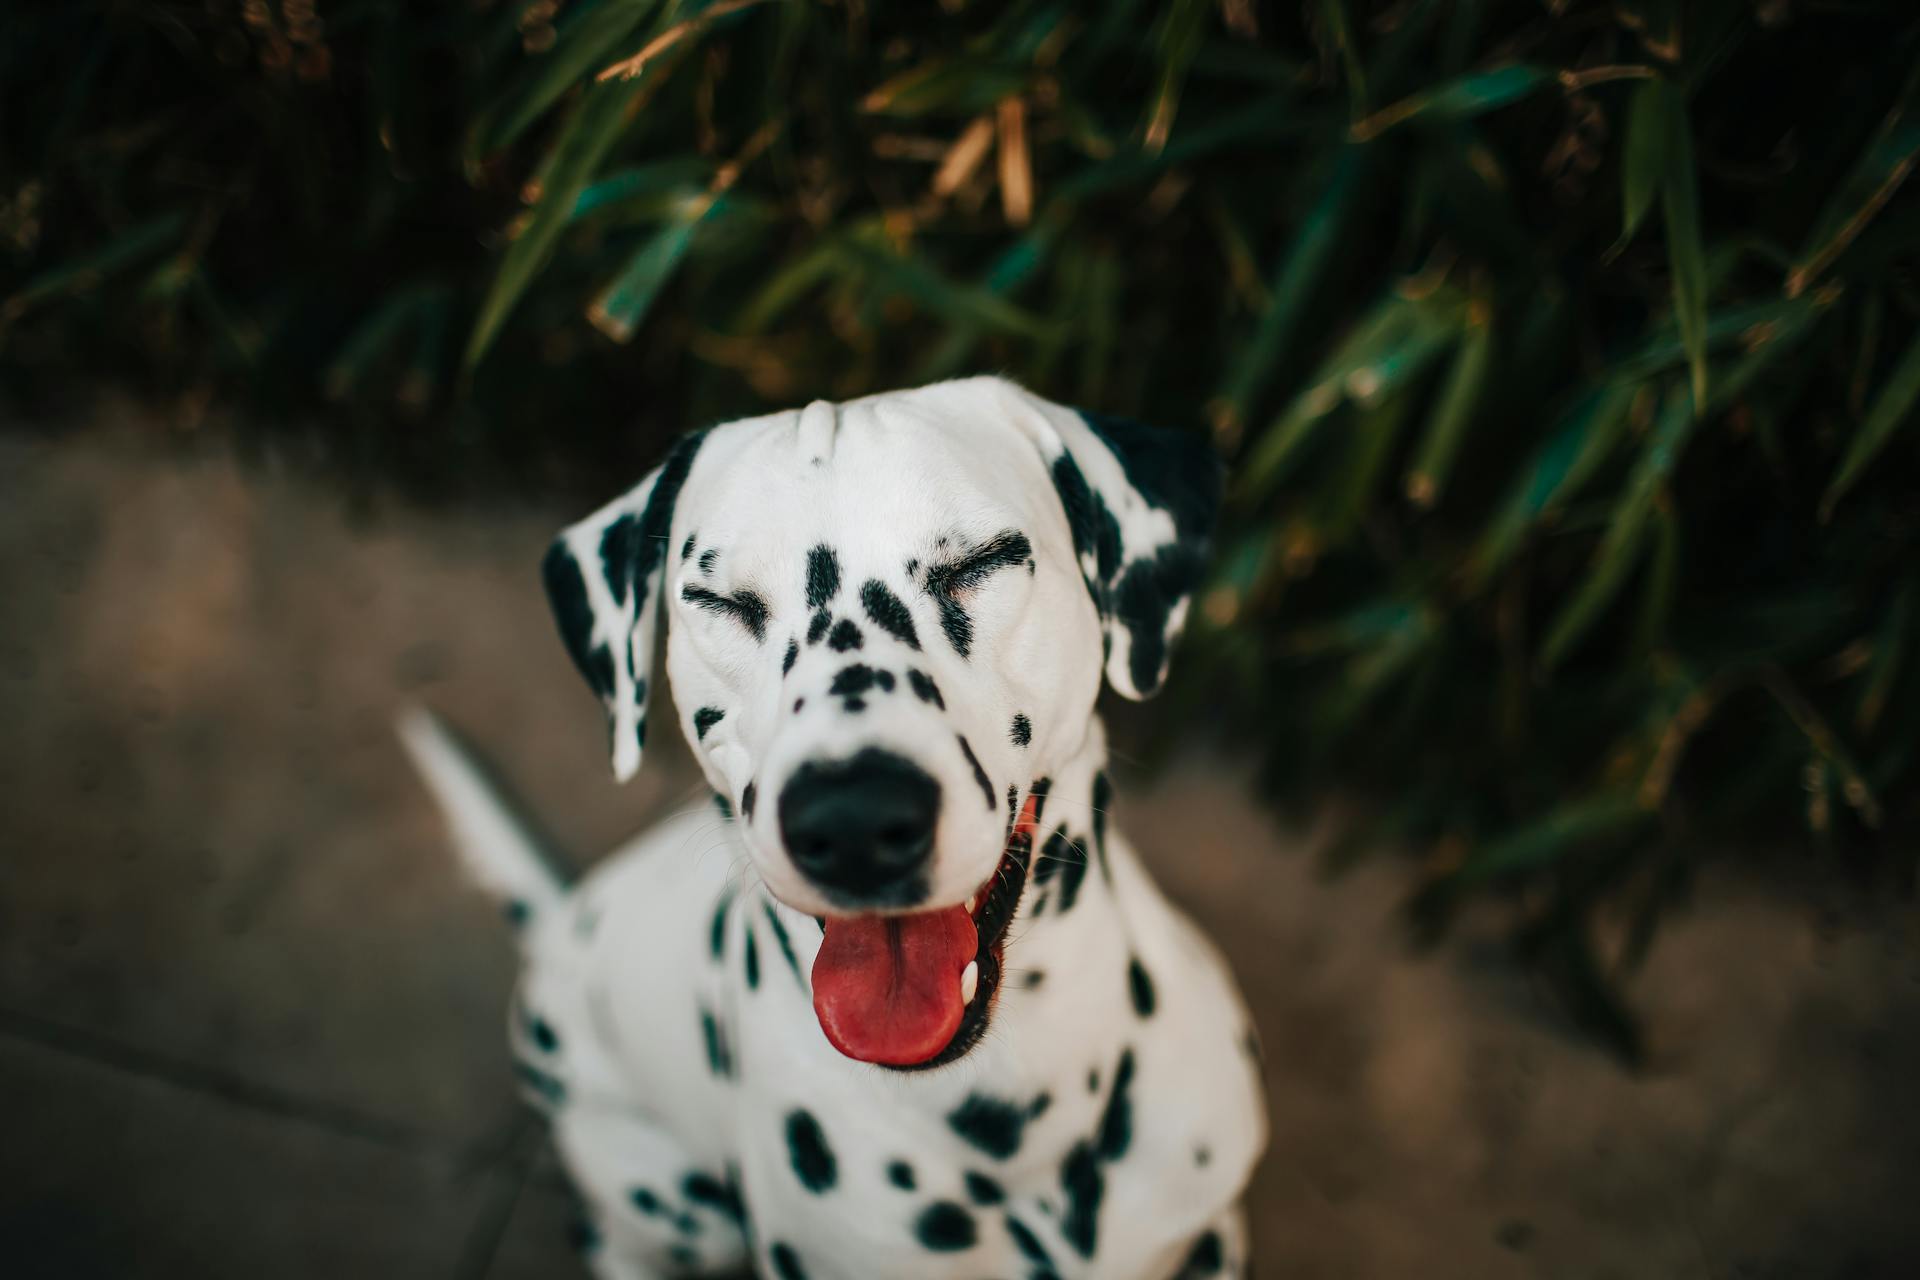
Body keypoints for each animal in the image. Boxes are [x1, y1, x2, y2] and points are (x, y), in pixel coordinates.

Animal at [401, 378, 1274, 1280]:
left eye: (982, 561)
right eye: (722, 603)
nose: (854, 822)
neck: (1015, 1114)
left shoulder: (1213, 1238)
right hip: (671, 1205)